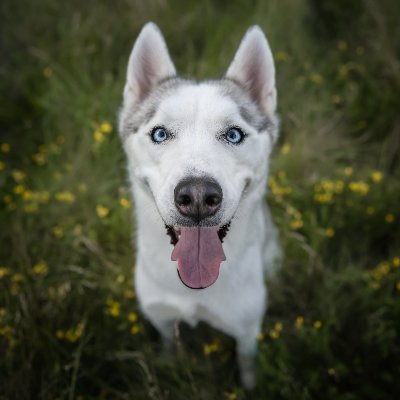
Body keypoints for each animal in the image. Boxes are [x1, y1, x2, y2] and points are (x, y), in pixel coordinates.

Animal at [118, 21, 282, 388]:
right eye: (160, 134)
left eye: (234, 135)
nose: (196, 197)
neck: (193, 288)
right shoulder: (162, 317)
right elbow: (169, 344)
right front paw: (168, 365)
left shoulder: (246, 330)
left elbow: (247, 362)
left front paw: (250, 385)